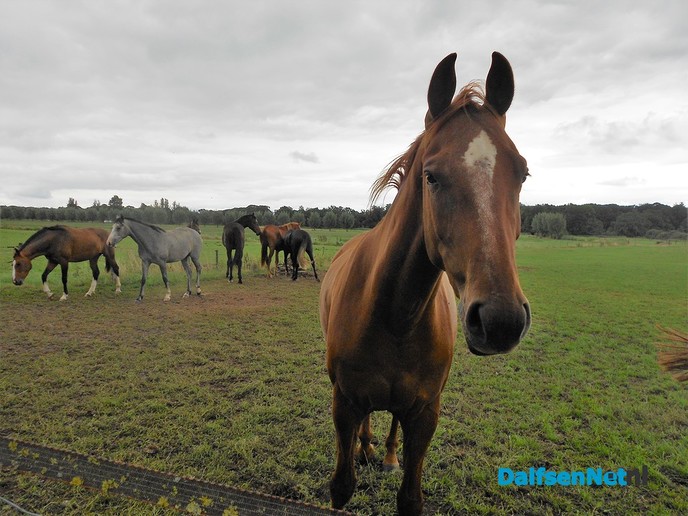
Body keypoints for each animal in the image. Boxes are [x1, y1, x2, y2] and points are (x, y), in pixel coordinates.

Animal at [319, 52, 531, 515]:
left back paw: (387, 455)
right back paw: (365, 447)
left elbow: (411, 497)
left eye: (523, 173)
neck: (395, 314)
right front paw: (358, 454)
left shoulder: (425, 413)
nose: (500, 320)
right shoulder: (344, 403)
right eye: (431, 176)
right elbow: (342, 486)